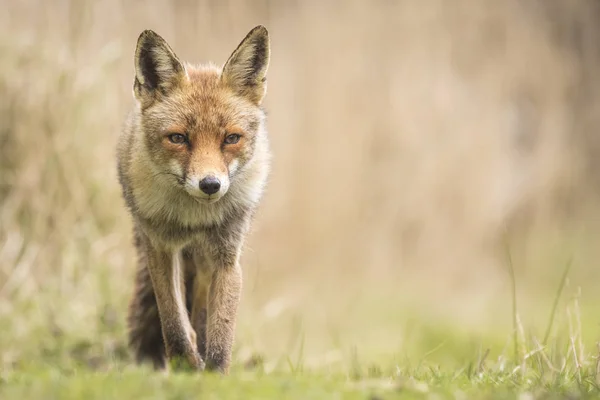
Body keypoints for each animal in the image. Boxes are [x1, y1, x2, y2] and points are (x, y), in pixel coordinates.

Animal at [116, 26, 270, 374]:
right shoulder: (160, 247)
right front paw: (184, 363)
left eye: (231, 138)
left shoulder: (227, 255)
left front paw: (215, 373)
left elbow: (221, 328)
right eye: (178, 138)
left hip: (205, 261)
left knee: (201, 311)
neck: (194, 218)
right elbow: (173, 321)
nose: (210, 184)